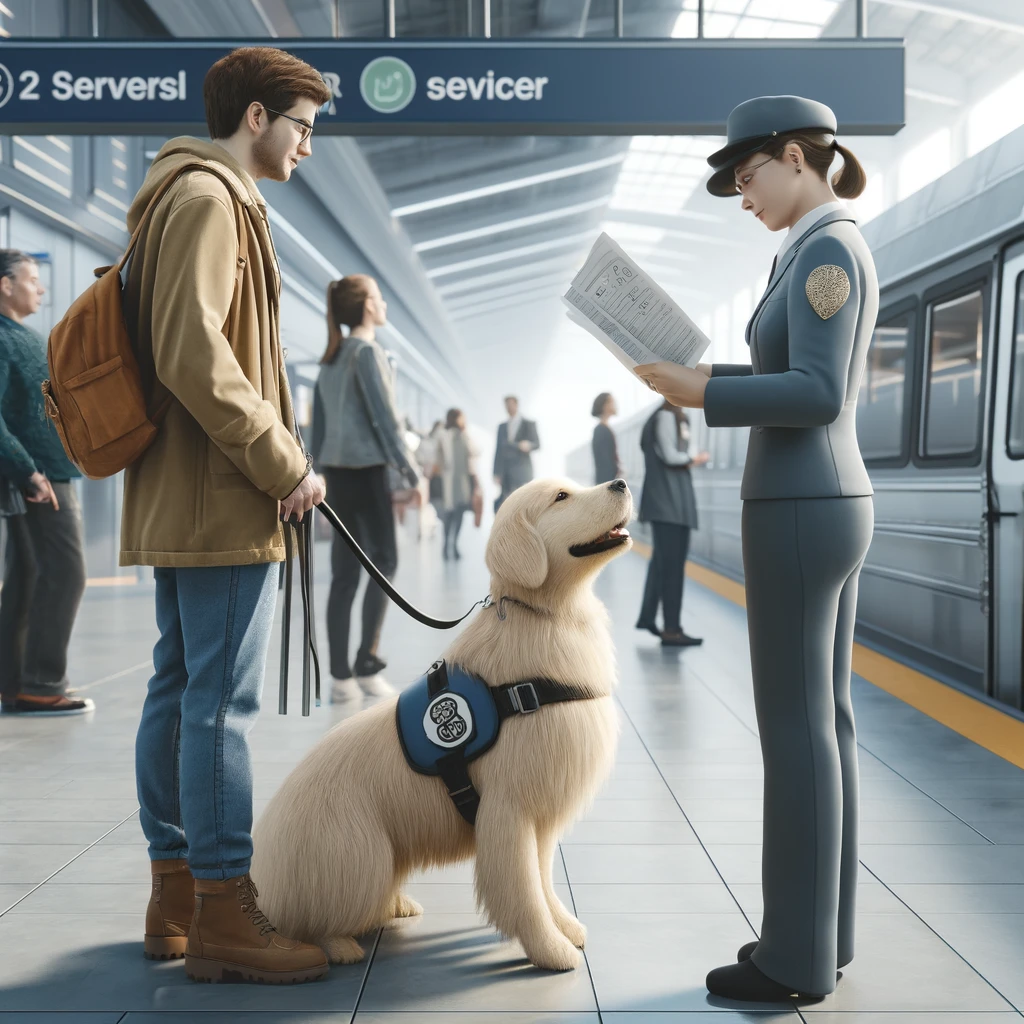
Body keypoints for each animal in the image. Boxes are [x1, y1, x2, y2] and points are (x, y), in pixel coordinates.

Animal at [249, 475, 630, 970]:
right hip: (362, 856)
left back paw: (396, 906)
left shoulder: (541, 817)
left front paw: (565, 927)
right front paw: (550, 950)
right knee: (314, 922)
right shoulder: (509, 811)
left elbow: (544, 883)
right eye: (560, 498)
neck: (547, 618)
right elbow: (524, 891)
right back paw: (343, 946)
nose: (621, 481)